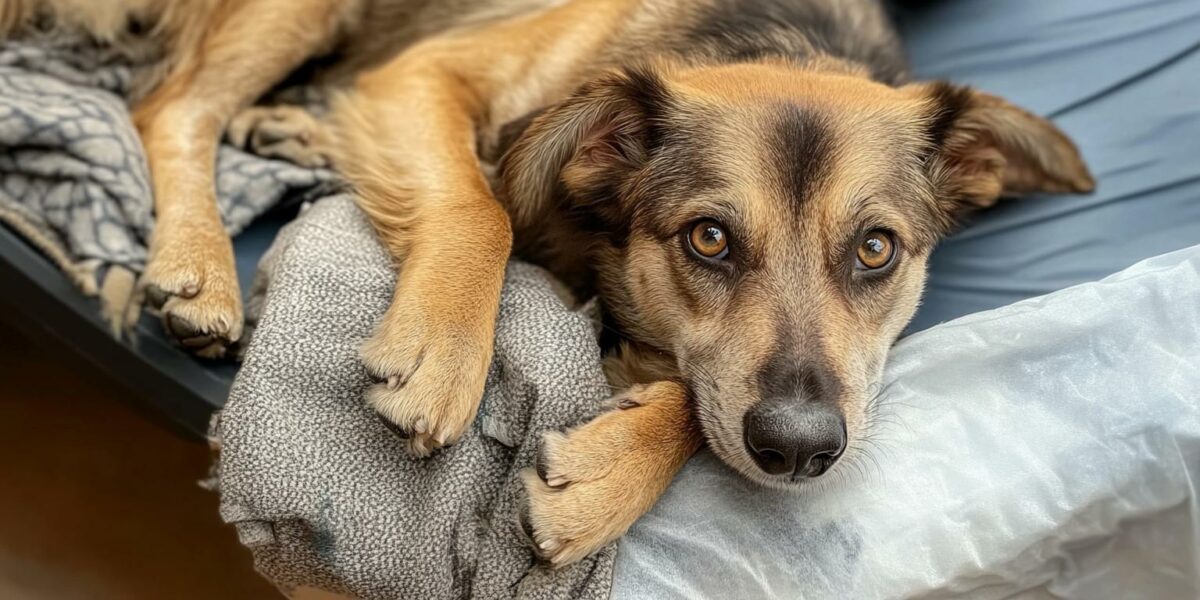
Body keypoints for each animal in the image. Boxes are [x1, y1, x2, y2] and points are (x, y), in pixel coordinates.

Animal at [4, 0, 1099, 566]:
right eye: (709, 238)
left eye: (876, 251)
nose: (798, 450)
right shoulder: (428, 74)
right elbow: (481, 205)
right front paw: (443, 355)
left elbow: (700, 400)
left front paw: (606, 477)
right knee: (171, 104)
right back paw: (197, 267)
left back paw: (294, 131)